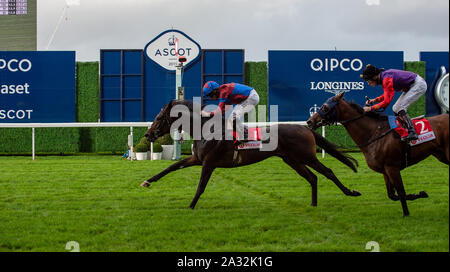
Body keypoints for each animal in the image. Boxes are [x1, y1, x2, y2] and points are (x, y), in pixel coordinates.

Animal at [142, 100, 360, 208]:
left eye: (159, 118)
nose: (148, 134)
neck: (207, 130)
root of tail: (305, 128)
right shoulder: (197, 159)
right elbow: (171, 167)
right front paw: (147, 181)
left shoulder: (209, 162)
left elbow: (201, 186)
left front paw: (191, 206)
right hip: (292, 160)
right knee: (313, 177)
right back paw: (313, 204)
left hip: (307, 156)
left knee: (328, 172)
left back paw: (350, 192)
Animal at [308, 92, 448, 216]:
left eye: (325, 107)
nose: (310, 121)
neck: (374, 133)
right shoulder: (385, 170)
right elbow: (392, 195)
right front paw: (419, 194)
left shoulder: (392, 167)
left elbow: (401, 192)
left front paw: (406, 214)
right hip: (441, 155)